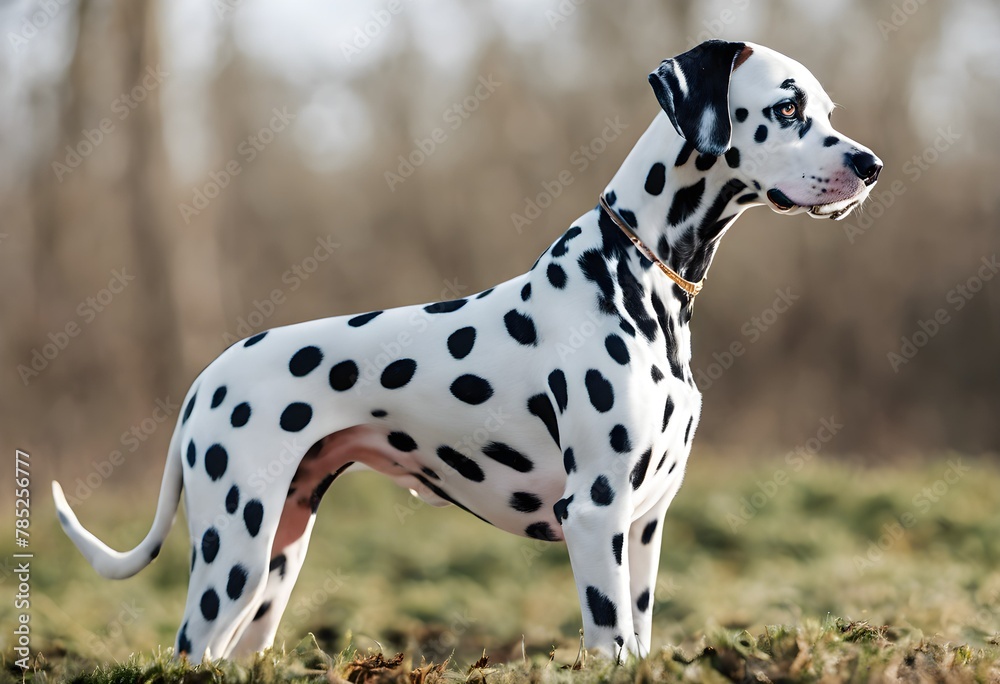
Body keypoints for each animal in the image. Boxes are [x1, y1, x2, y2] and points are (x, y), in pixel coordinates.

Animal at [56, 40, 884, 660]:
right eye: (786, 108)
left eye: (826, 111)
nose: (871, 165)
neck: (636, 277)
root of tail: (205, 381)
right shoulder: (596, 514)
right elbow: (610, 638)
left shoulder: (646, 523)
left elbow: (641, 635)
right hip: (232, 555)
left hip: (276, 561)